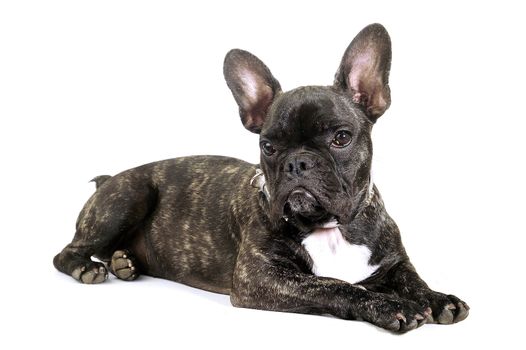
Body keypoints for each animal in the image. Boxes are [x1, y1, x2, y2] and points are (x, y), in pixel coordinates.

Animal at [55, 23, 472, 332]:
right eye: (269, 146)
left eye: (341, 138)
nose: (297, 162)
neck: (330, 227)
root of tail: (112, 177)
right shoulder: (262, 277)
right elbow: (335, 286)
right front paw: (388, 305)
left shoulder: (393, 260)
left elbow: (413, 279)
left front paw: (438, 298)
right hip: (131, 193)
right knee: (67, 253)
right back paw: (90, 267)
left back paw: (124, 261)